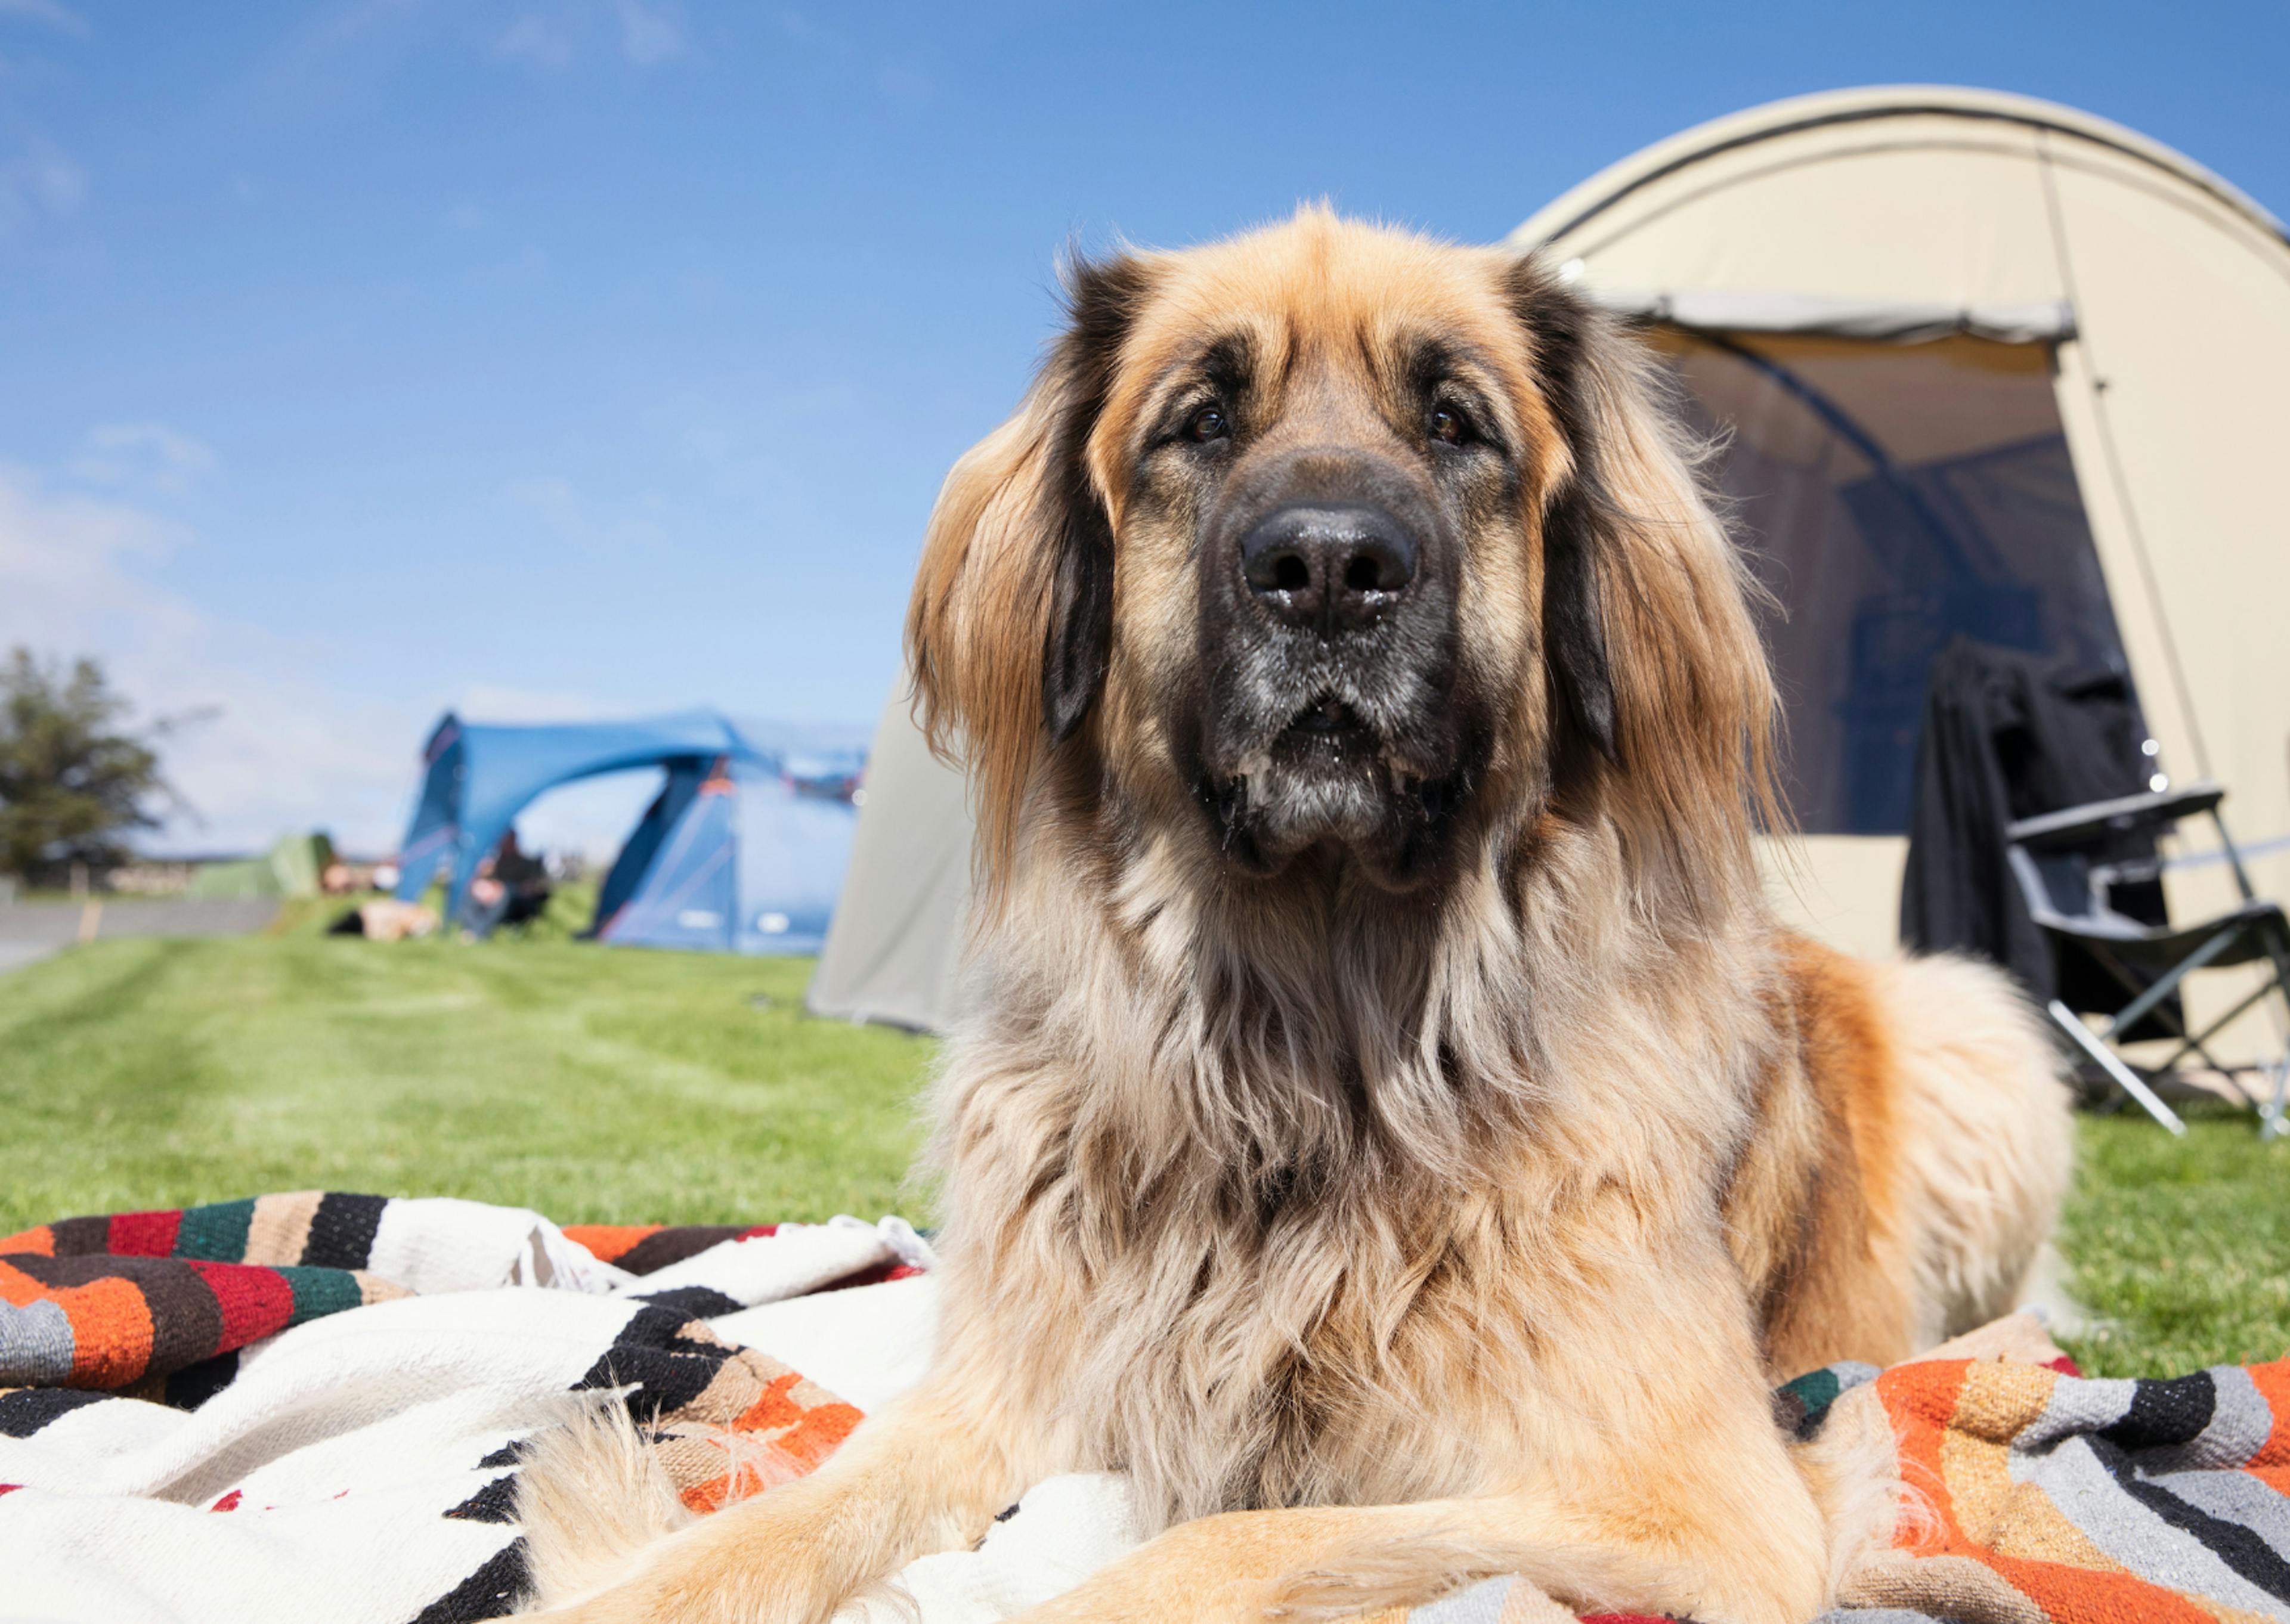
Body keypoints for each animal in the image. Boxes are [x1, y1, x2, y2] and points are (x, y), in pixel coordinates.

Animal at [524, 209, 2079, 1622]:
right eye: (1201, 423)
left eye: (1454, 425)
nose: (1329, 568)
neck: (1311, 1044)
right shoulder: (1006, 1388)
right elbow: (787, 1522)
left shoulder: (1687, 1504)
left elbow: (1217, 1545)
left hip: (1976, 1025)